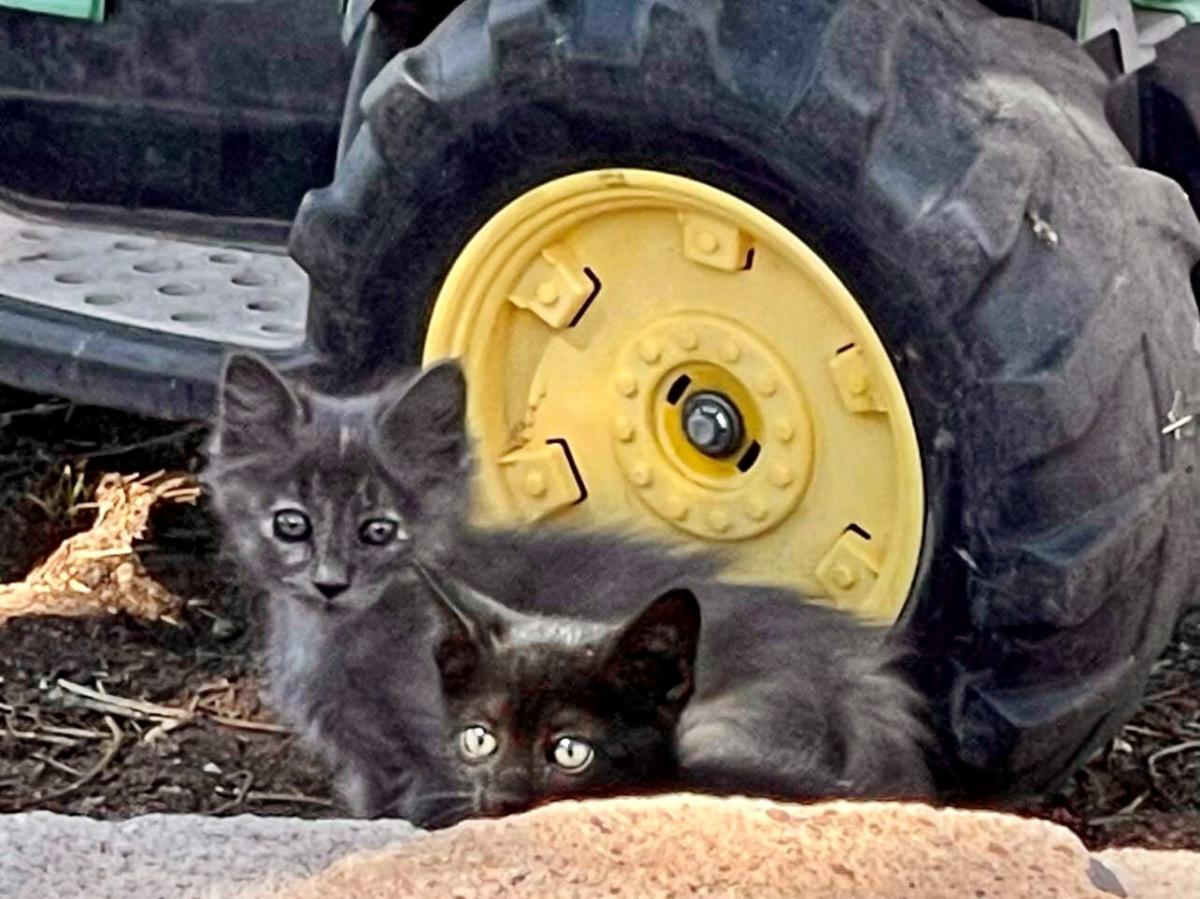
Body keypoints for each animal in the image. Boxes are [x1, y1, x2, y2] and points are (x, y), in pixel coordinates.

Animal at [204, 353, 932, 827]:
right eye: (291, 524)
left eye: (378, 530)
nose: (330, 582)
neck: (339, 639)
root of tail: (853, 664)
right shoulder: (364, 764)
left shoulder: (445, 754)